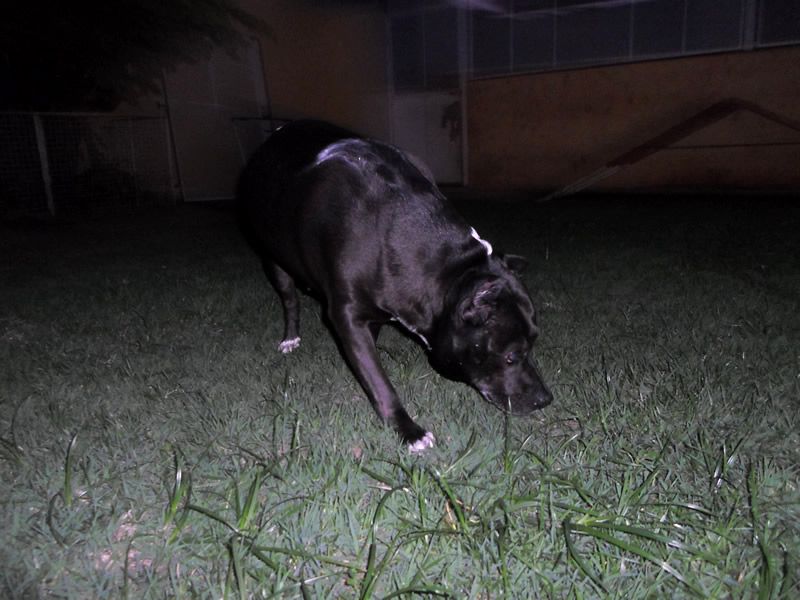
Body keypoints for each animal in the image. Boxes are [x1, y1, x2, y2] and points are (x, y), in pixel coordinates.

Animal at [238, 120, 552, 452]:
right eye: (511, 356)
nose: (545, 399)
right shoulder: (346, 314)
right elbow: (380, 382)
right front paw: (409, 430)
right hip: (272, 255)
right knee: (289, 299)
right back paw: (290, 337)